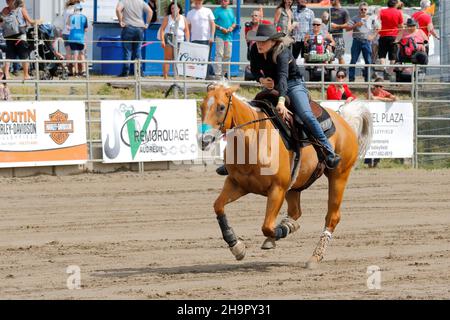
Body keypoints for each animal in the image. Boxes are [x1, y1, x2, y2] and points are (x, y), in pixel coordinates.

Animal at [200, 83, 372, 268]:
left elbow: (267, 226)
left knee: (332, 217)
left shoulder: (277, 189)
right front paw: (236, 246)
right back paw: (286, 228)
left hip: (339, 176)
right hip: (294, 186)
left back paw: (315, 256)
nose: (204, 139)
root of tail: (344, 121)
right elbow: (218, 206)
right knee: (295, 211)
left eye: (221, 107)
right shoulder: (236, 183)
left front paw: (283, 230)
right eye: (201, 106)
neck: (254, 139)